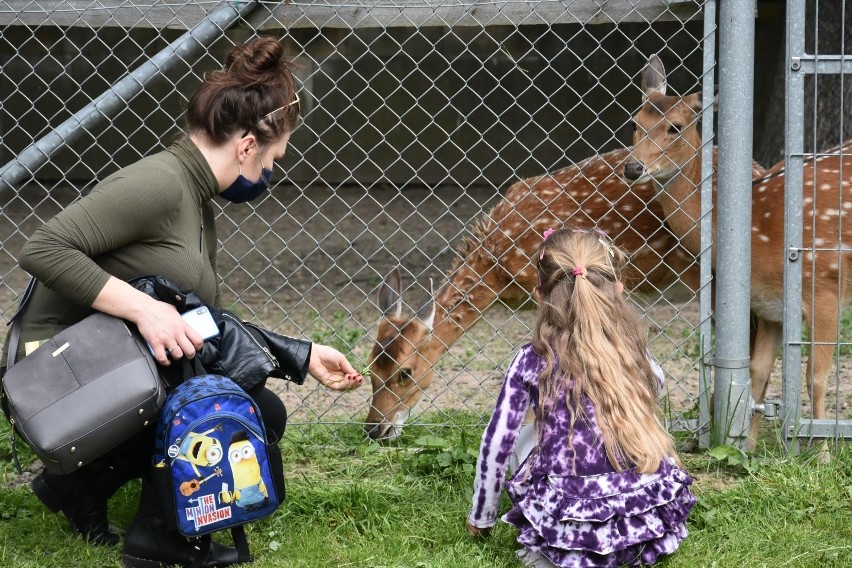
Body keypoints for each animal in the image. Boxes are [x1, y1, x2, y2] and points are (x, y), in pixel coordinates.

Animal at [620, 55, 852, 450]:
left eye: (675, 127)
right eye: (635, 122)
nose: (633, 167)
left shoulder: (824, 284)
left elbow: (816, 378)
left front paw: (820, 454)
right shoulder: (769, 305)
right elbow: (757, 372)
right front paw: (747, 448)